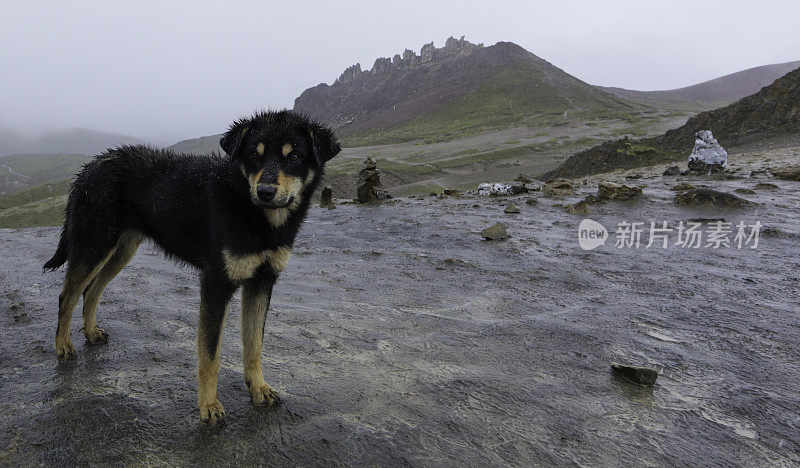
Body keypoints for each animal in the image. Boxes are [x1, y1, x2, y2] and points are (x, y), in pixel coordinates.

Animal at [44, 109, 340, 424]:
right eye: (254, 155)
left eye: (294, 156)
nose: (265, 191)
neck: (248, 207)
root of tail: (90, 166)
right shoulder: (215, 283)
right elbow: (210, 354)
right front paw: (208, 406)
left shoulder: (261, 282)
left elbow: (254, 344)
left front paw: (258, 387)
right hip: (93, 245)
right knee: (68, 295)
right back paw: (63, 345)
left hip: (121, 249)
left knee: (92, 291)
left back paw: (90, 332)